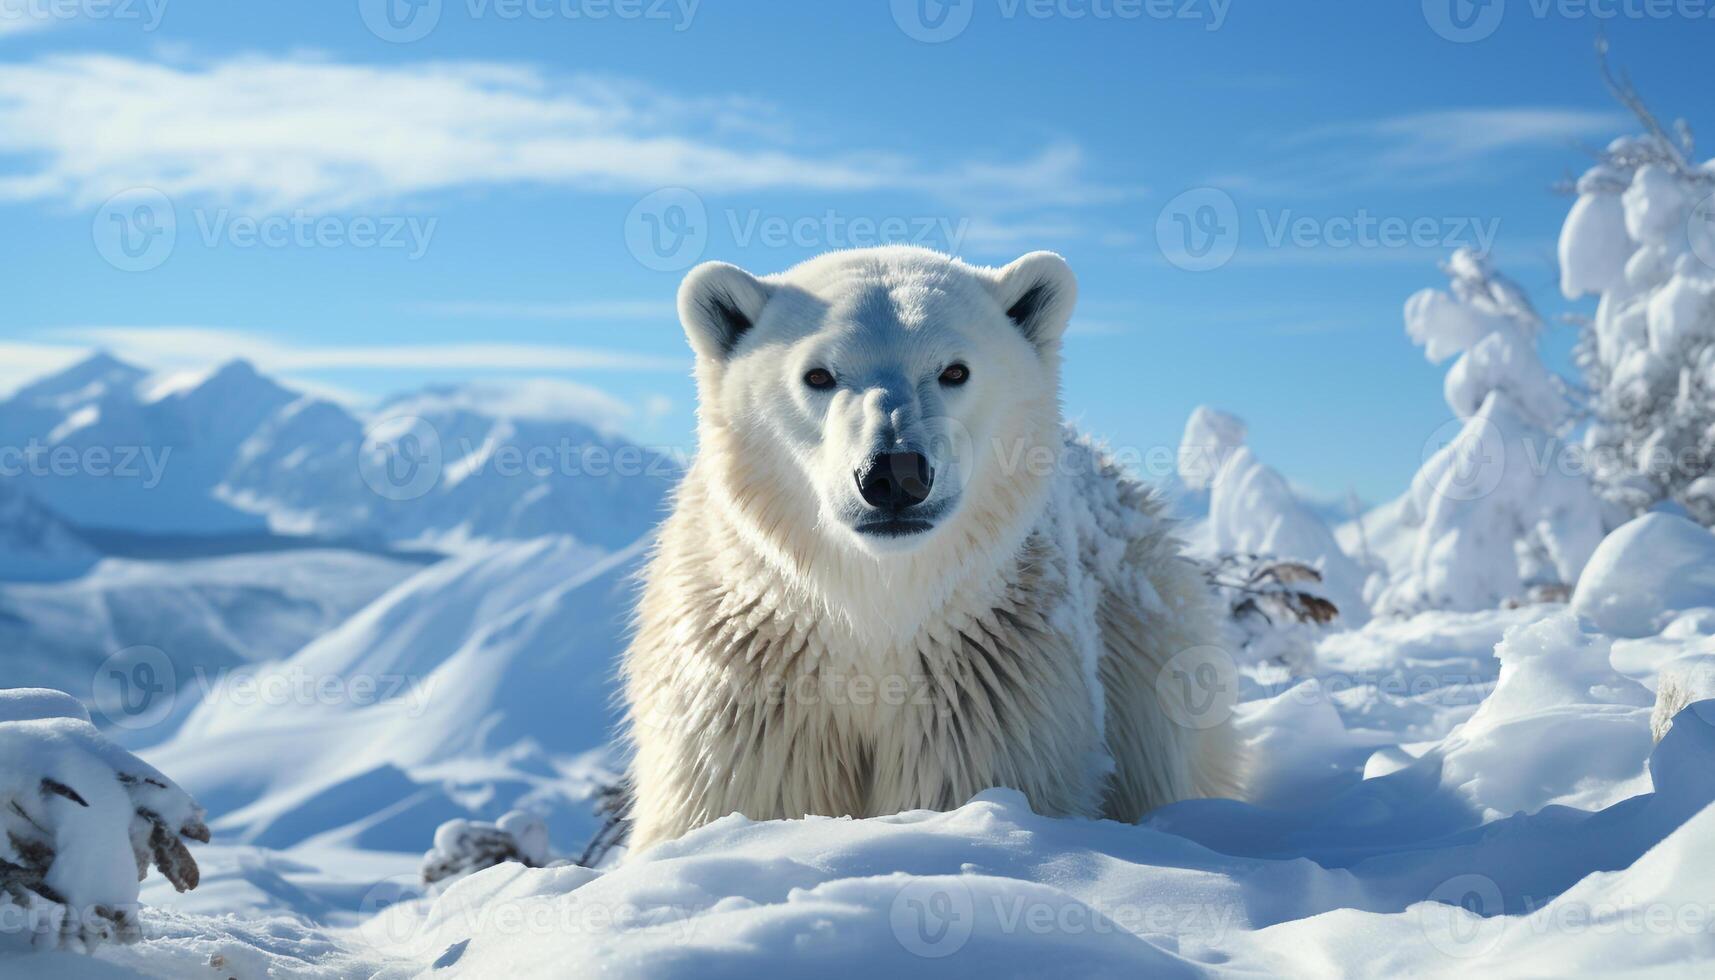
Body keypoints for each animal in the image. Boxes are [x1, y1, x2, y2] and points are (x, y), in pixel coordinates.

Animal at [624, 245, 1241, 851]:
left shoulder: (986, 685)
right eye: (817, 374)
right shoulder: (752, 692)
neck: (877, 613)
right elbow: (745, 798)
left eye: (954, 370)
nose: (894, 474)